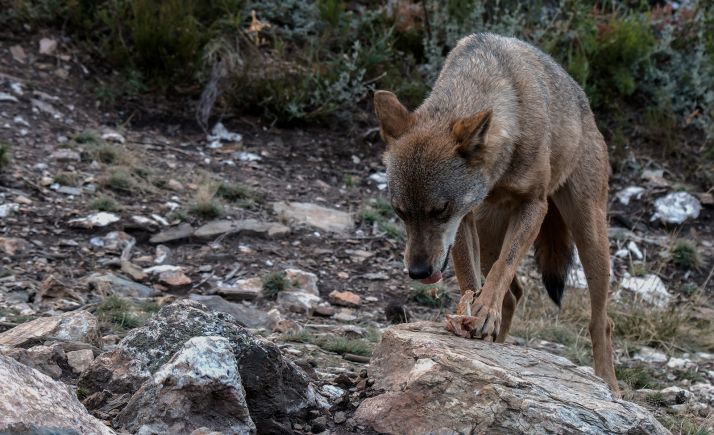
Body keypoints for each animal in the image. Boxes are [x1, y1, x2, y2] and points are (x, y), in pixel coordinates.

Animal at [373, 33, 618, 393]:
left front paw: (484, 311)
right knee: (514, 294)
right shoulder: (465, 219)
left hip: (589, 235)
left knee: (601, 321)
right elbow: (469, 276)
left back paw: (610, 384)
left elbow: (505, 266)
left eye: (439, 210)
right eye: (400, 212)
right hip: (489, 233)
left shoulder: (534, 205)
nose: (418, 272)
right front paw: (472, 315)